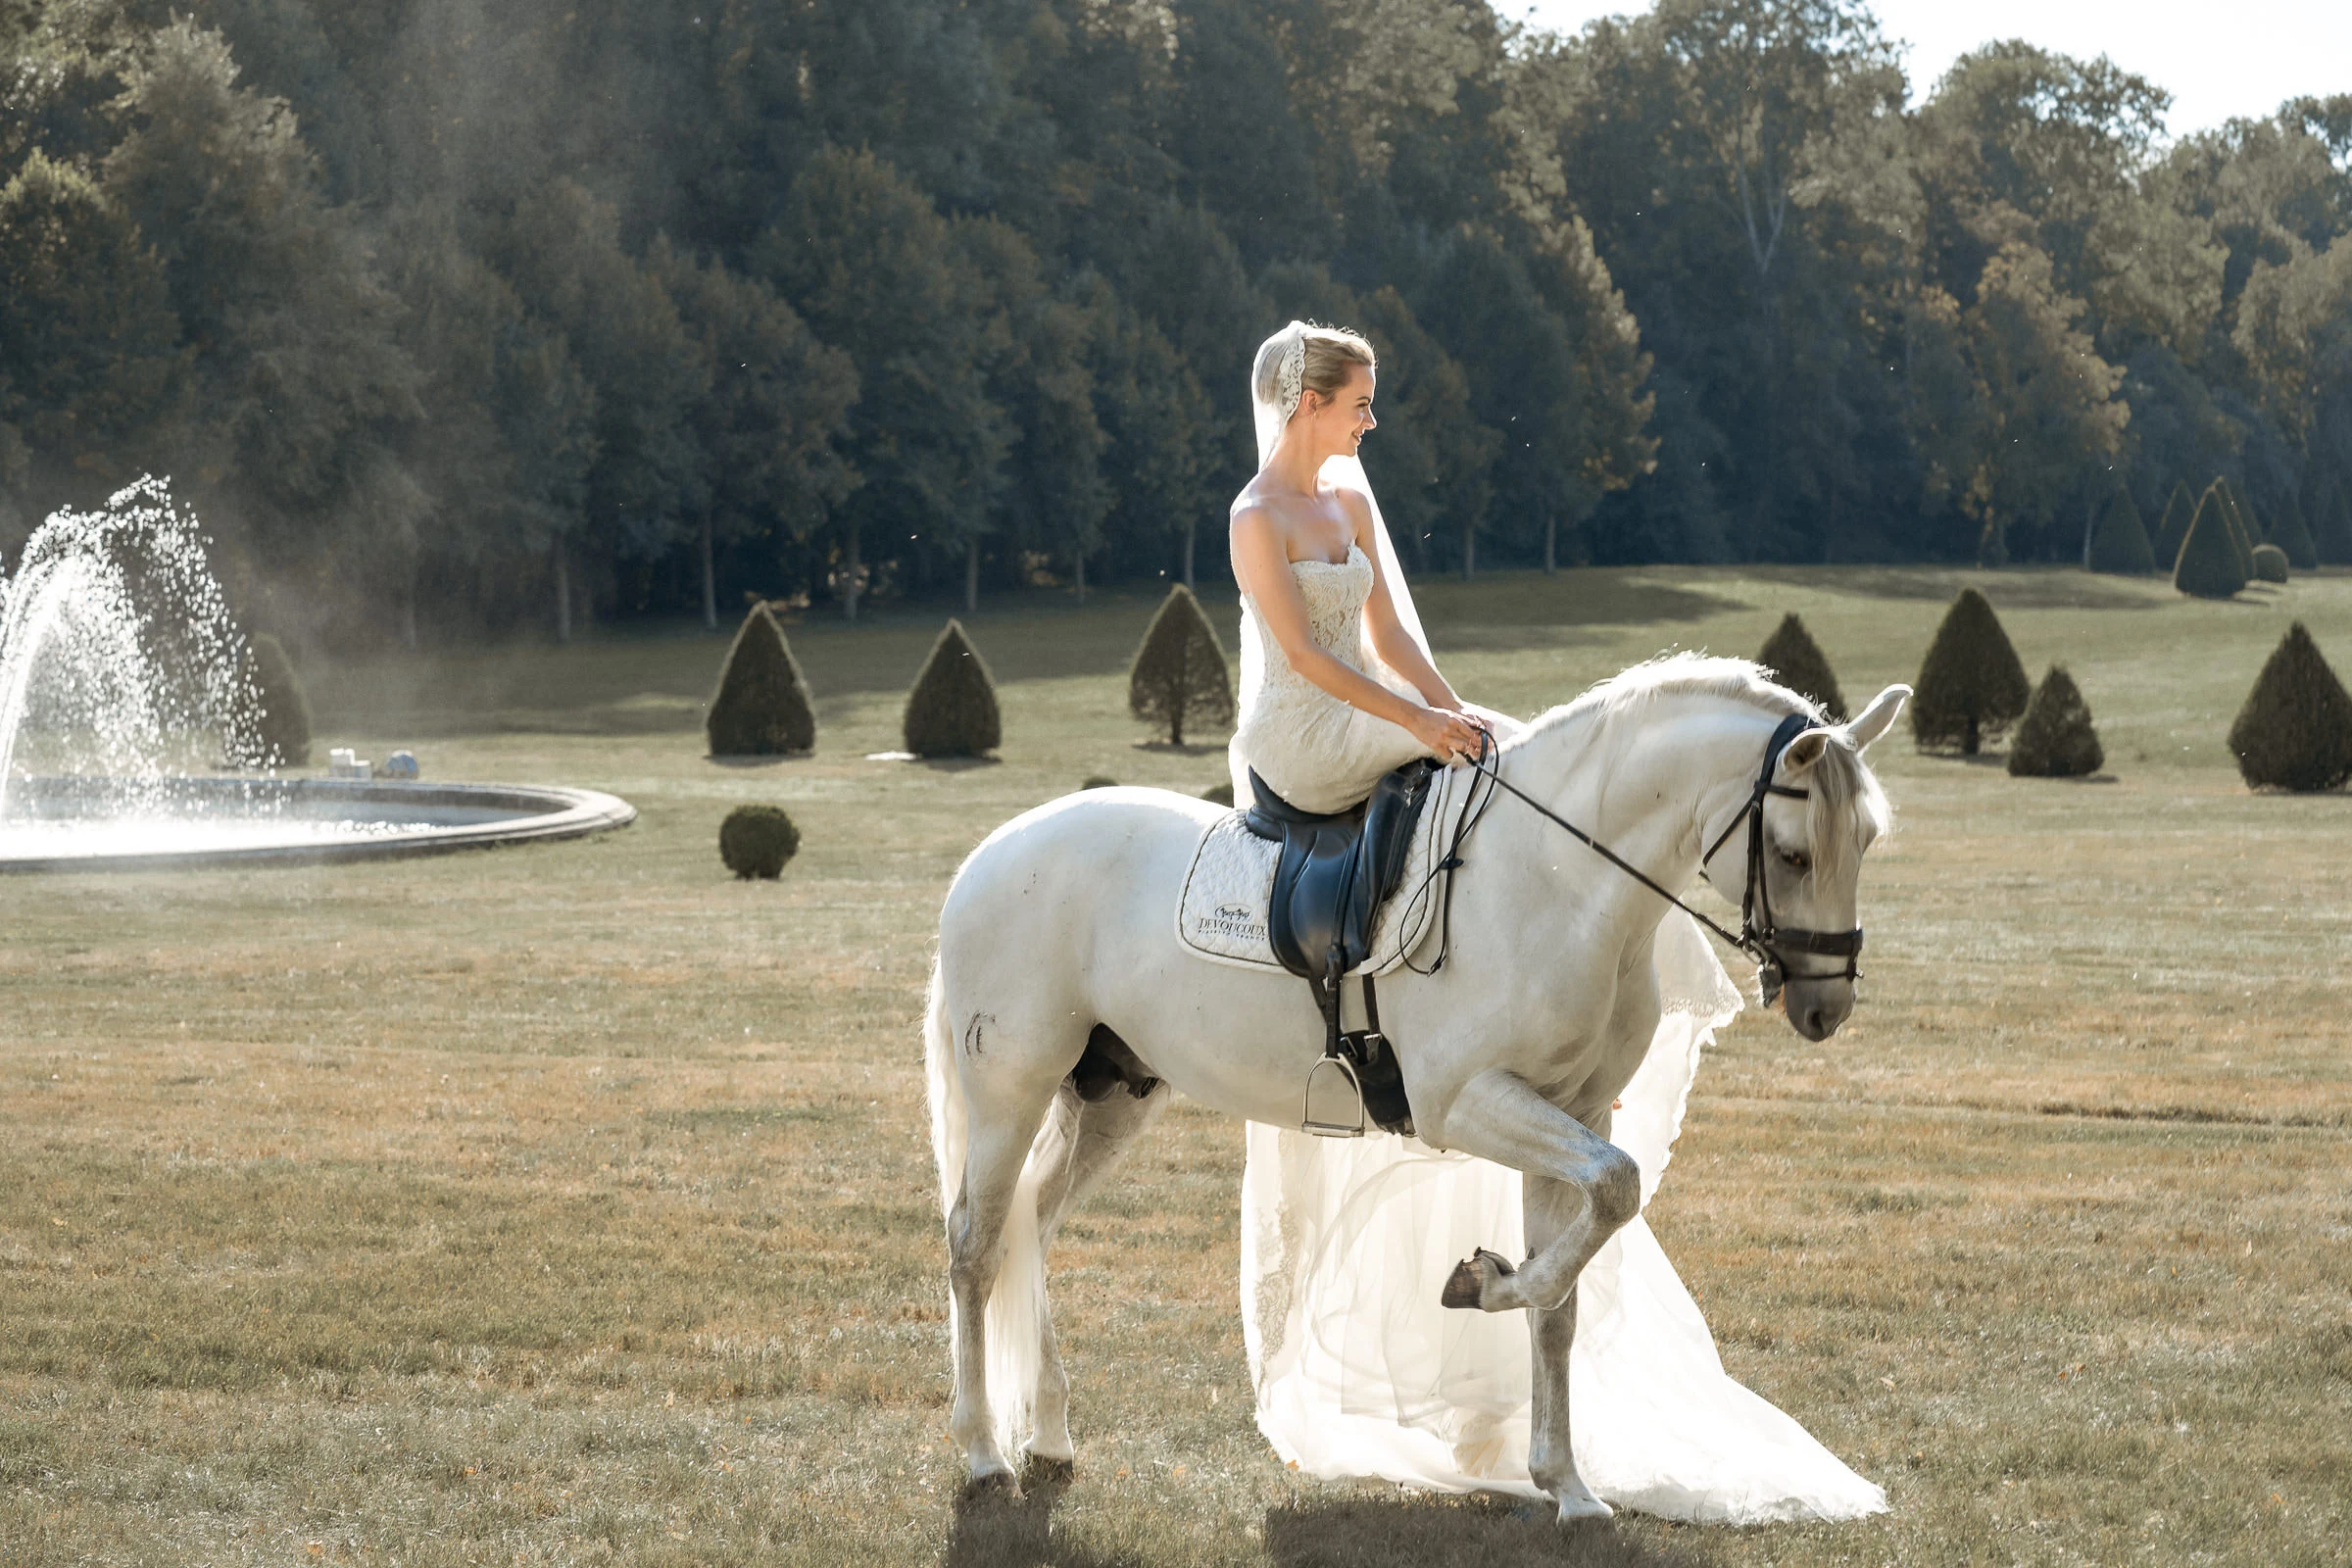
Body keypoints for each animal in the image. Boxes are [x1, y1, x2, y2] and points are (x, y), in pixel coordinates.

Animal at [924, 655, 1908, 1524]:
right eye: (1790, 853)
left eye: (1867, 842)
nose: (1826, 1006)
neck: (1559, 883)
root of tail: (993, 851)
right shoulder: (1466, 1103)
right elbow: (1615, 1190)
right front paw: (1485, 1282)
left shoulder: (1573, 1112)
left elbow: (1565, 1293)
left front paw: (1568, 1487)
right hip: (1012, 1091)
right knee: (976, 1244)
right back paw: (982, 1454)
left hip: (1113, 1096)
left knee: (1032, 1224)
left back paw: (1049, 1436)